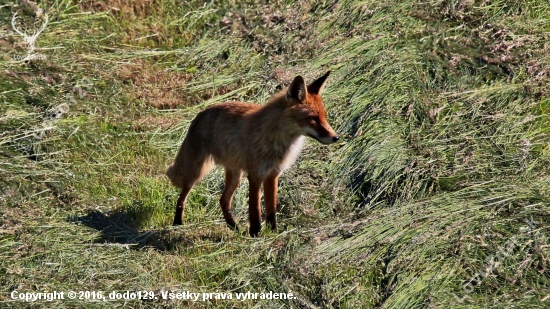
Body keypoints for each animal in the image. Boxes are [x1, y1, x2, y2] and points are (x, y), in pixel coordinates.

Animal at [167, 71, 340, 236]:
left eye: (324, 117)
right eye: (313, 119)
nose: (335, 137)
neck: (277, 140)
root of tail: (200, 113)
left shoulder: (273, 174)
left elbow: (271, 210)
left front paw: (272, 233)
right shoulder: (256, 175)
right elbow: (255, 210)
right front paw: (255, 234)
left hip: (235, 177)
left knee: (223, 201)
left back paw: (235, 228)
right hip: (196, 173)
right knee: (182, 198)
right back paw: (177, 224)